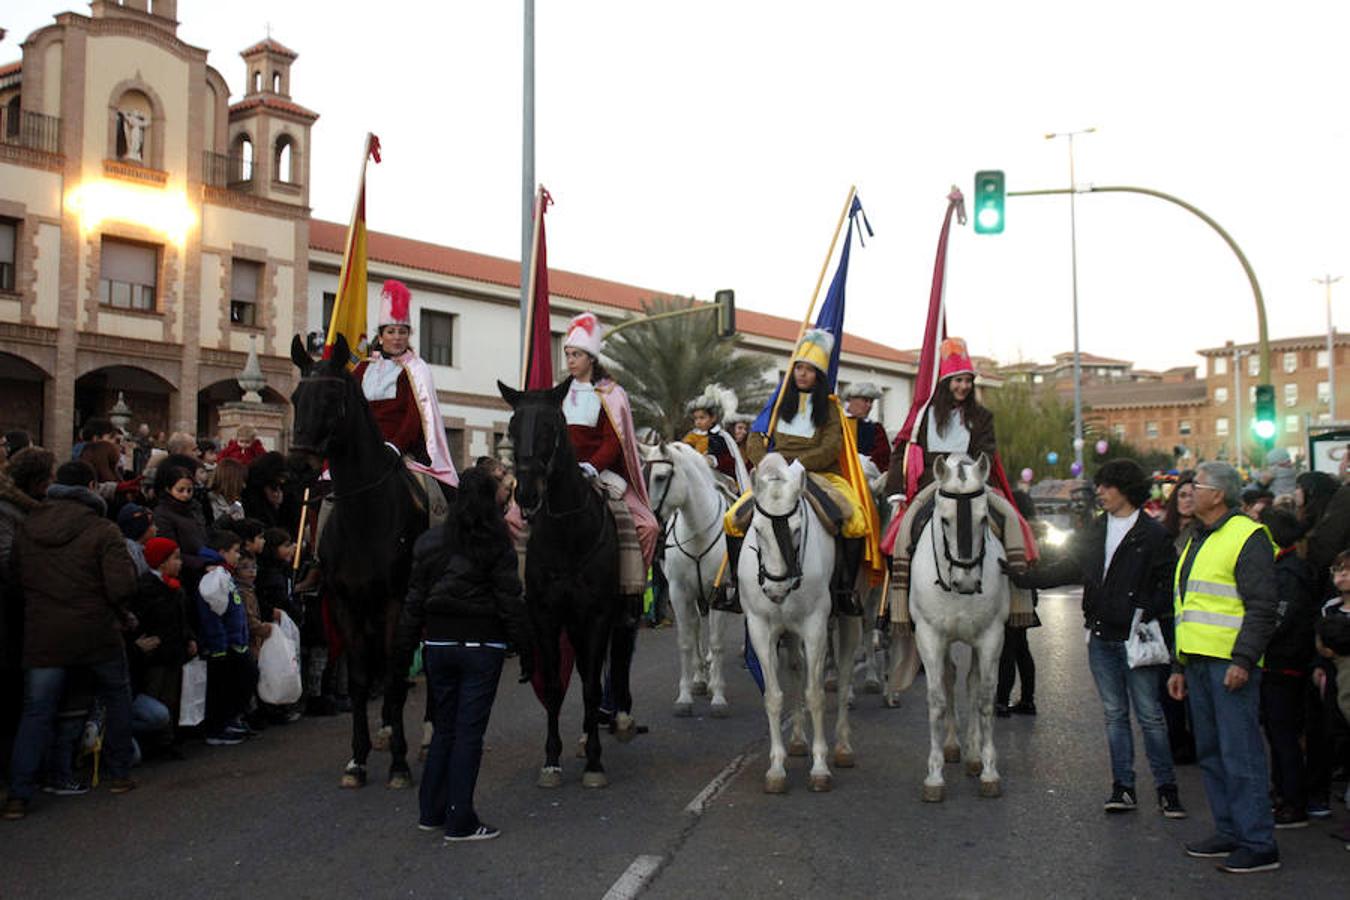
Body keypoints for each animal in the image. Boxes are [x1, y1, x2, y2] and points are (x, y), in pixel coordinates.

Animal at [290, 335, 426, 788]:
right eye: (295, 398)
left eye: (332, 397)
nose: (299, 467)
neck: (365, 515)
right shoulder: (345, 603)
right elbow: (363, 678)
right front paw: (358, 759)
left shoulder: (396, 601)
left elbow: (396, 676)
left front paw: (400, 763)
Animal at [499, 377, 629, 782]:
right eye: (512, 428)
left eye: (550, 427)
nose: (525, 493)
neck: (569, 533)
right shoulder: (546, 614)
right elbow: (556, 685)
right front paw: (551, 760)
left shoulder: (598, 614)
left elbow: (589, 687)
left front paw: (595, 763)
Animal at [639, 442, 734, 717]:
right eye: (642, 474)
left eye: (661, 477)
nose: (650, 521)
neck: (698, 531)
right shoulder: (679, 593)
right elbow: (685, 641)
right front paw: (685, 696)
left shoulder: (721, 593)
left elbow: (717, 643)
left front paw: (719, 697)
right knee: (695, 629)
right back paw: (700, 679)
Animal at [739, 453, 853, 793]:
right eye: (758, 529)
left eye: (797, 529)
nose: (776, 589)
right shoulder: (761, 628)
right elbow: (774, 697)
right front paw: (777, 767)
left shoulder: (815, 627)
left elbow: (815, 694)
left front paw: (820, 767)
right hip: (788, 633)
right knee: (795, 669)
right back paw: (799, 740)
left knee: (844, 675)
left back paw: (843, 747)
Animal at [912, 450, 1009, 804]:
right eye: (944, 520)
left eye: (983, 519)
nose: (966, 582)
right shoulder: (929, 636)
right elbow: (937, 699)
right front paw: (934, 774)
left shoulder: (991, 637)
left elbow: (984, 698)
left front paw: (989, 770)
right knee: (951, 678)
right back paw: (953, 746)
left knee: (971, 682)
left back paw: (971, 754)